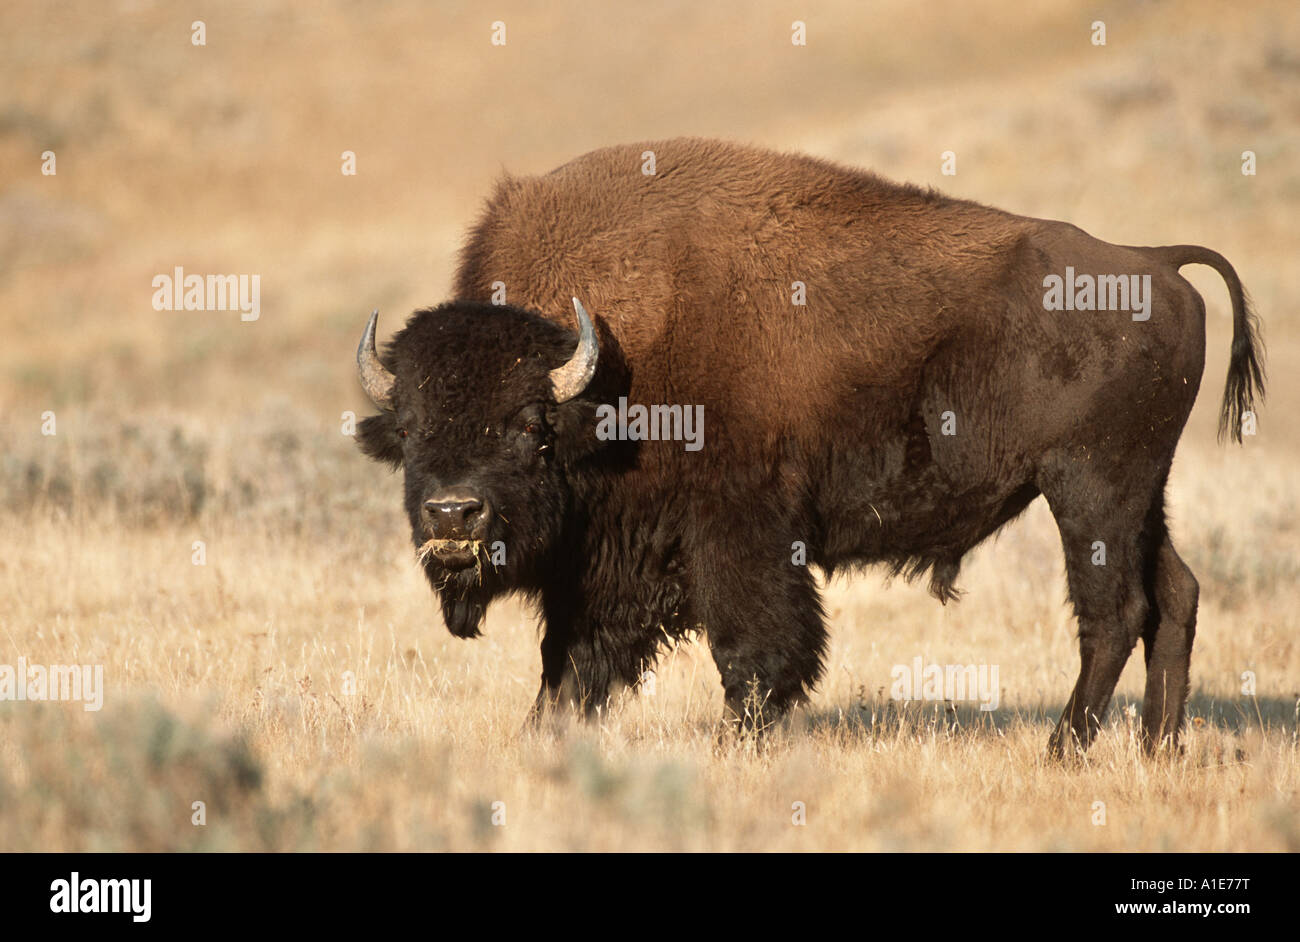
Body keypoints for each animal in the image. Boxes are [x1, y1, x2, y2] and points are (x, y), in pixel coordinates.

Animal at [353, 139, 1258, 753]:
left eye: (529, 426)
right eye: (412, 430)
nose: (454, 515)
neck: (606, 376)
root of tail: (1156, 262)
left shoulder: (737, 531)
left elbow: (754, 650)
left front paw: (737, 744)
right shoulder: (604, 563)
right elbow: (571, 664)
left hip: (1089, 489)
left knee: (1115, 611)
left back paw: (1064, 750)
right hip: (1141, 493)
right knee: (1174, 593)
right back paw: (1158, 748)